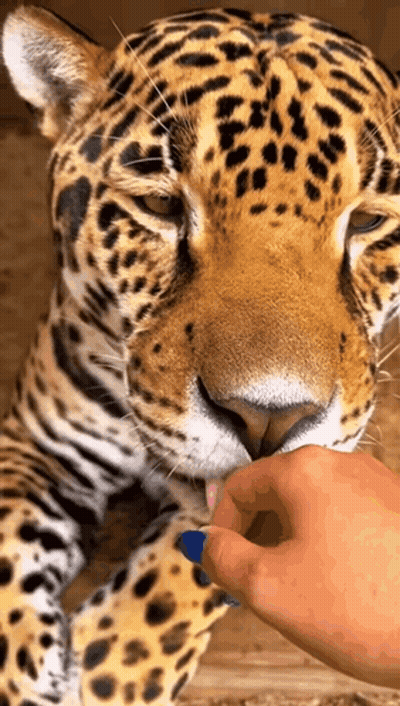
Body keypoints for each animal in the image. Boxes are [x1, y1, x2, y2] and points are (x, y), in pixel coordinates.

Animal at [1, 4, 400, 706]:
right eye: (160, 204)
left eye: (369, 222)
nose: (268, 419)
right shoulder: (35, 441)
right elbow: (4, 542)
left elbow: (191, 565)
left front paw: (111, 668)